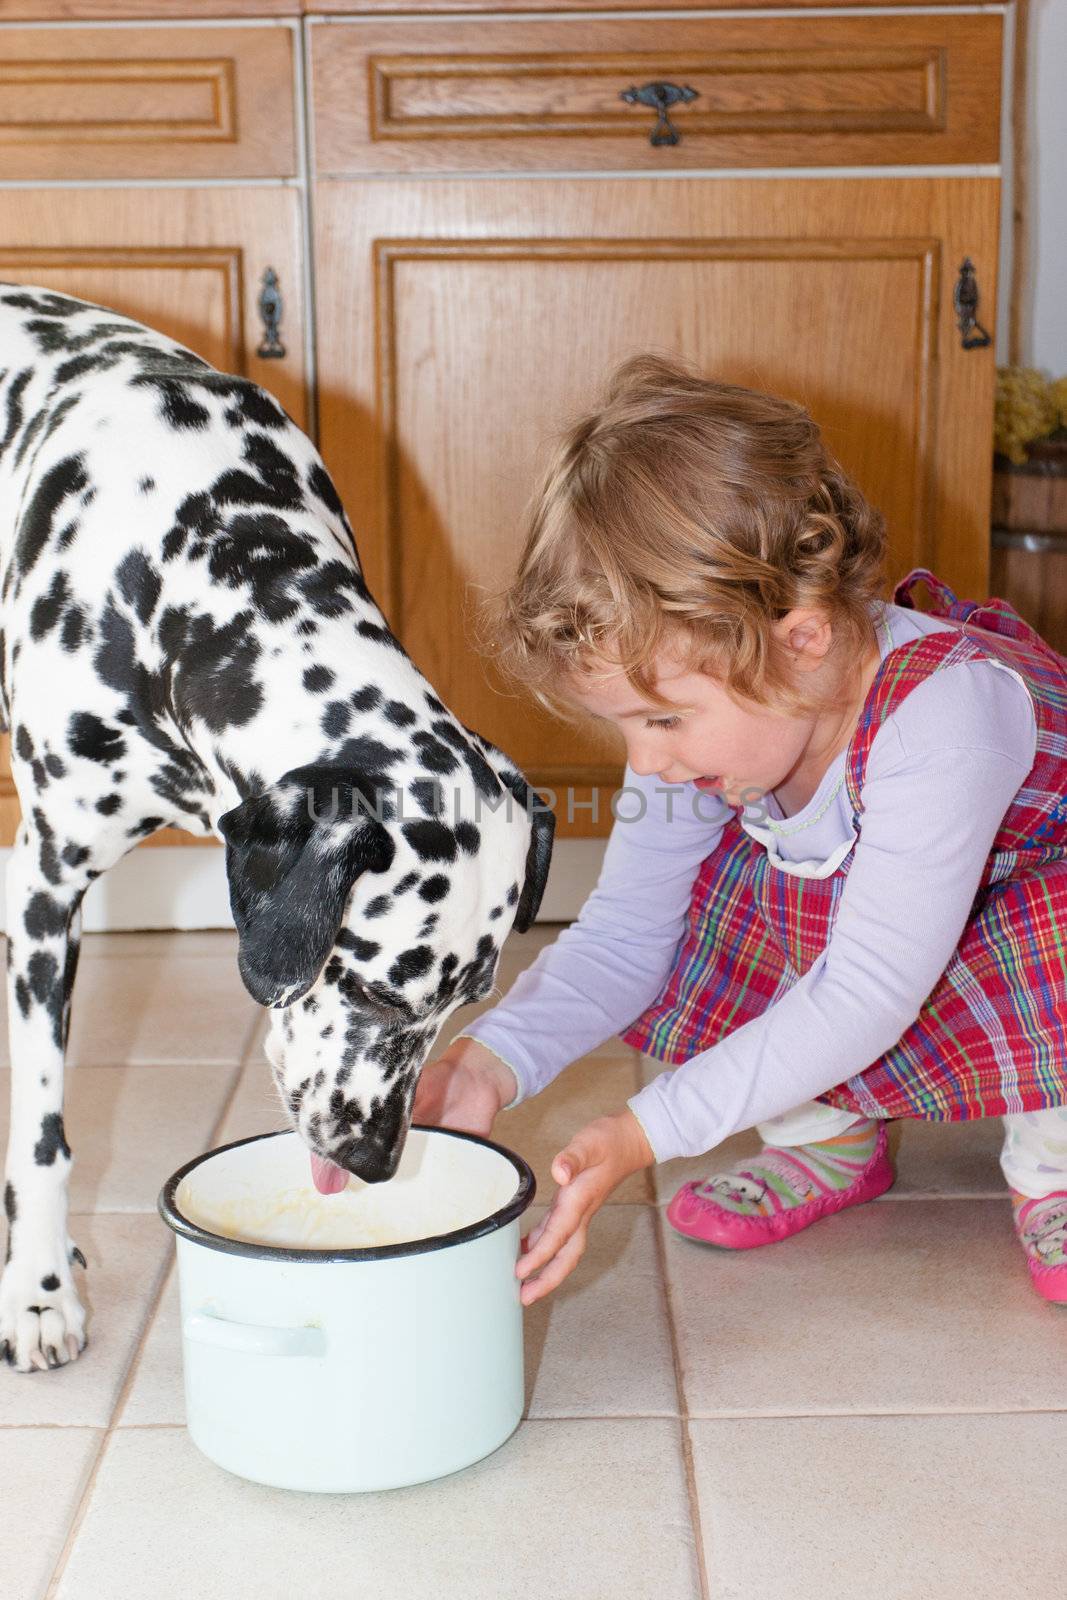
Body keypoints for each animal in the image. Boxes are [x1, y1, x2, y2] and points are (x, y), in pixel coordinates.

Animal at [0, 281, 550, 1369]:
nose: (375, 1161)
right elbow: (40, 1127)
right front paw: (37, 1291)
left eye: (466, 1001)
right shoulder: (43, 887)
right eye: (375, 988)